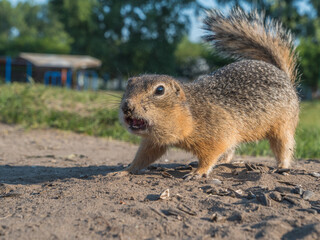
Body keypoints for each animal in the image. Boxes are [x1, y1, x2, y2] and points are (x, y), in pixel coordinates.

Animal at [117, 7, 300, 180]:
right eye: (129, 82)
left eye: (160, 90)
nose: (127, 106)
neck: (191, 111)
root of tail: (283, 74)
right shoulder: (154, 142)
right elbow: (144, 157)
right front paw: (126, 170)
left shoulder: (219, 132)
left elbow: (210, 155)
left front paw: (198, 172)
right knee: (230, 151)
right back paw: (222, 161)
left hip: (283, 125)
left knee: (284, 147)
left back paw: (281, 166)